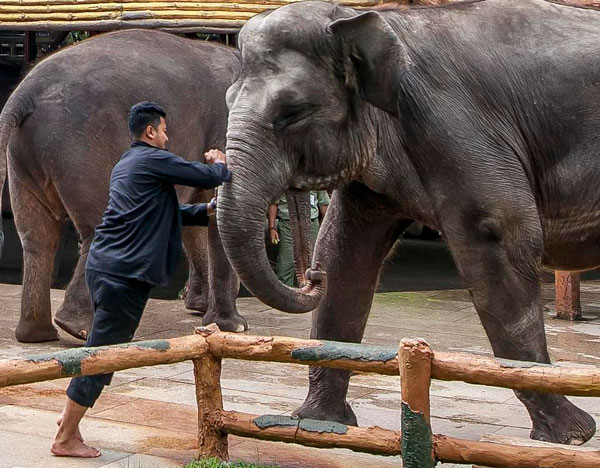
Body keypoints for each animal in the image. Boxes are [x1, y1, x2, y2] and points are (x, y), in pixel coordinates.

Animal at [0, 30, 246, 344]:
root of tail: (23, 94)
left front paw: (200, 309)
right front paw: (234, 327)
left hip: (23, 157)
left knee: (36, 238)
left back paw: (38, 335)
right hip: (81, 150)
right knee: (97, 228)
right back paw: (85, 330)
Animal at [219, 0, 600, 446]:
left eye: (292, 112)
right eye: (227, 101)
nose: (311, 276)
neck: (374, 20)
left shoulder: (457, 127)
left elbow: (499, 239)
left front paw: (572, 436)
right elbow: (345, 254)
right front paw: (318, 424)